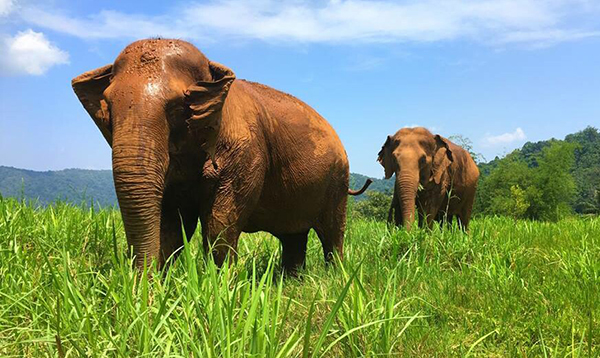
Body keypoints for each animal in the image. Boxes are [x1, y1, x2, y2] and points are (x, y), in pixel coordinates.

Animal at [71, 38, 370, 272]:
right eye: (108, 107)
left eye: (178, 107)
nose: (142, 287)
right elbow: (173, 222)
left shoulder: (246, 150)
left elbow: (220, 221)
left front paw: (218, 287)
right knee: (293, 236)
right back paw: (292, 280)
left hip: (336, 182)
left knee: (332, 233)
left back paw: (335, 277)